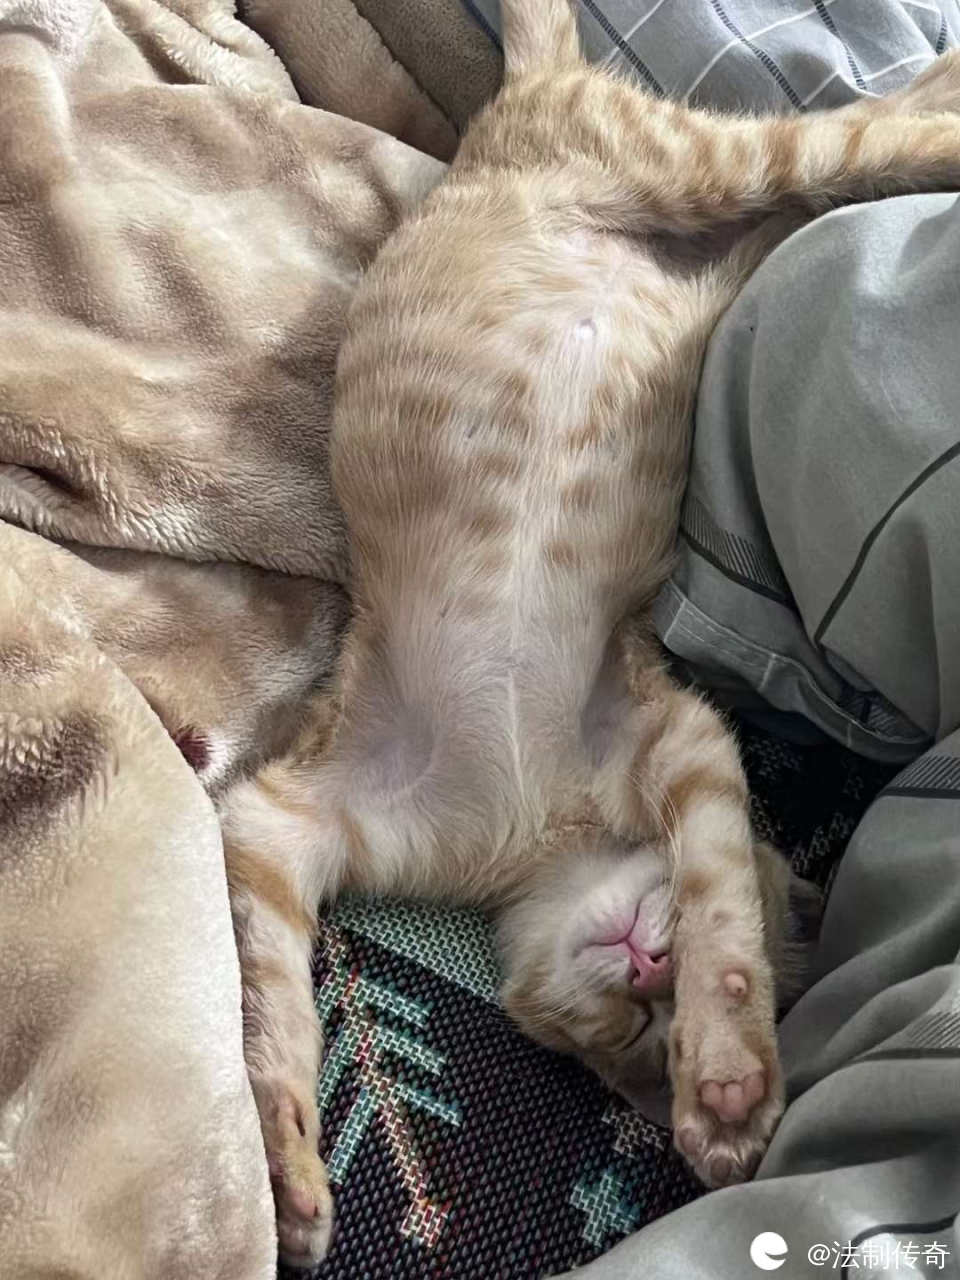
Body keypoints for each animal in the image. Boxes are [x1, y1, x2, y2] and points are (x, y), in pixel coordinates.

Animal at [219, 3, 960, 1265]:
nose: (650, 967)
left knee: (831, 168)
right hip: (688, 168)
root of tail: (519, 106)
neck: (533, 833)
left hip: (715, 214)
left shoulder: (673, 737)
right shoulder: (290, 814)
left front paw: (729, 1071)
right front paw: (287, 1165)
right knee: (852, 143)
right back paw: (945, 110)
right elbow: (269, 999)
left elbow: (714, 880)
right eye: (630, 1029)